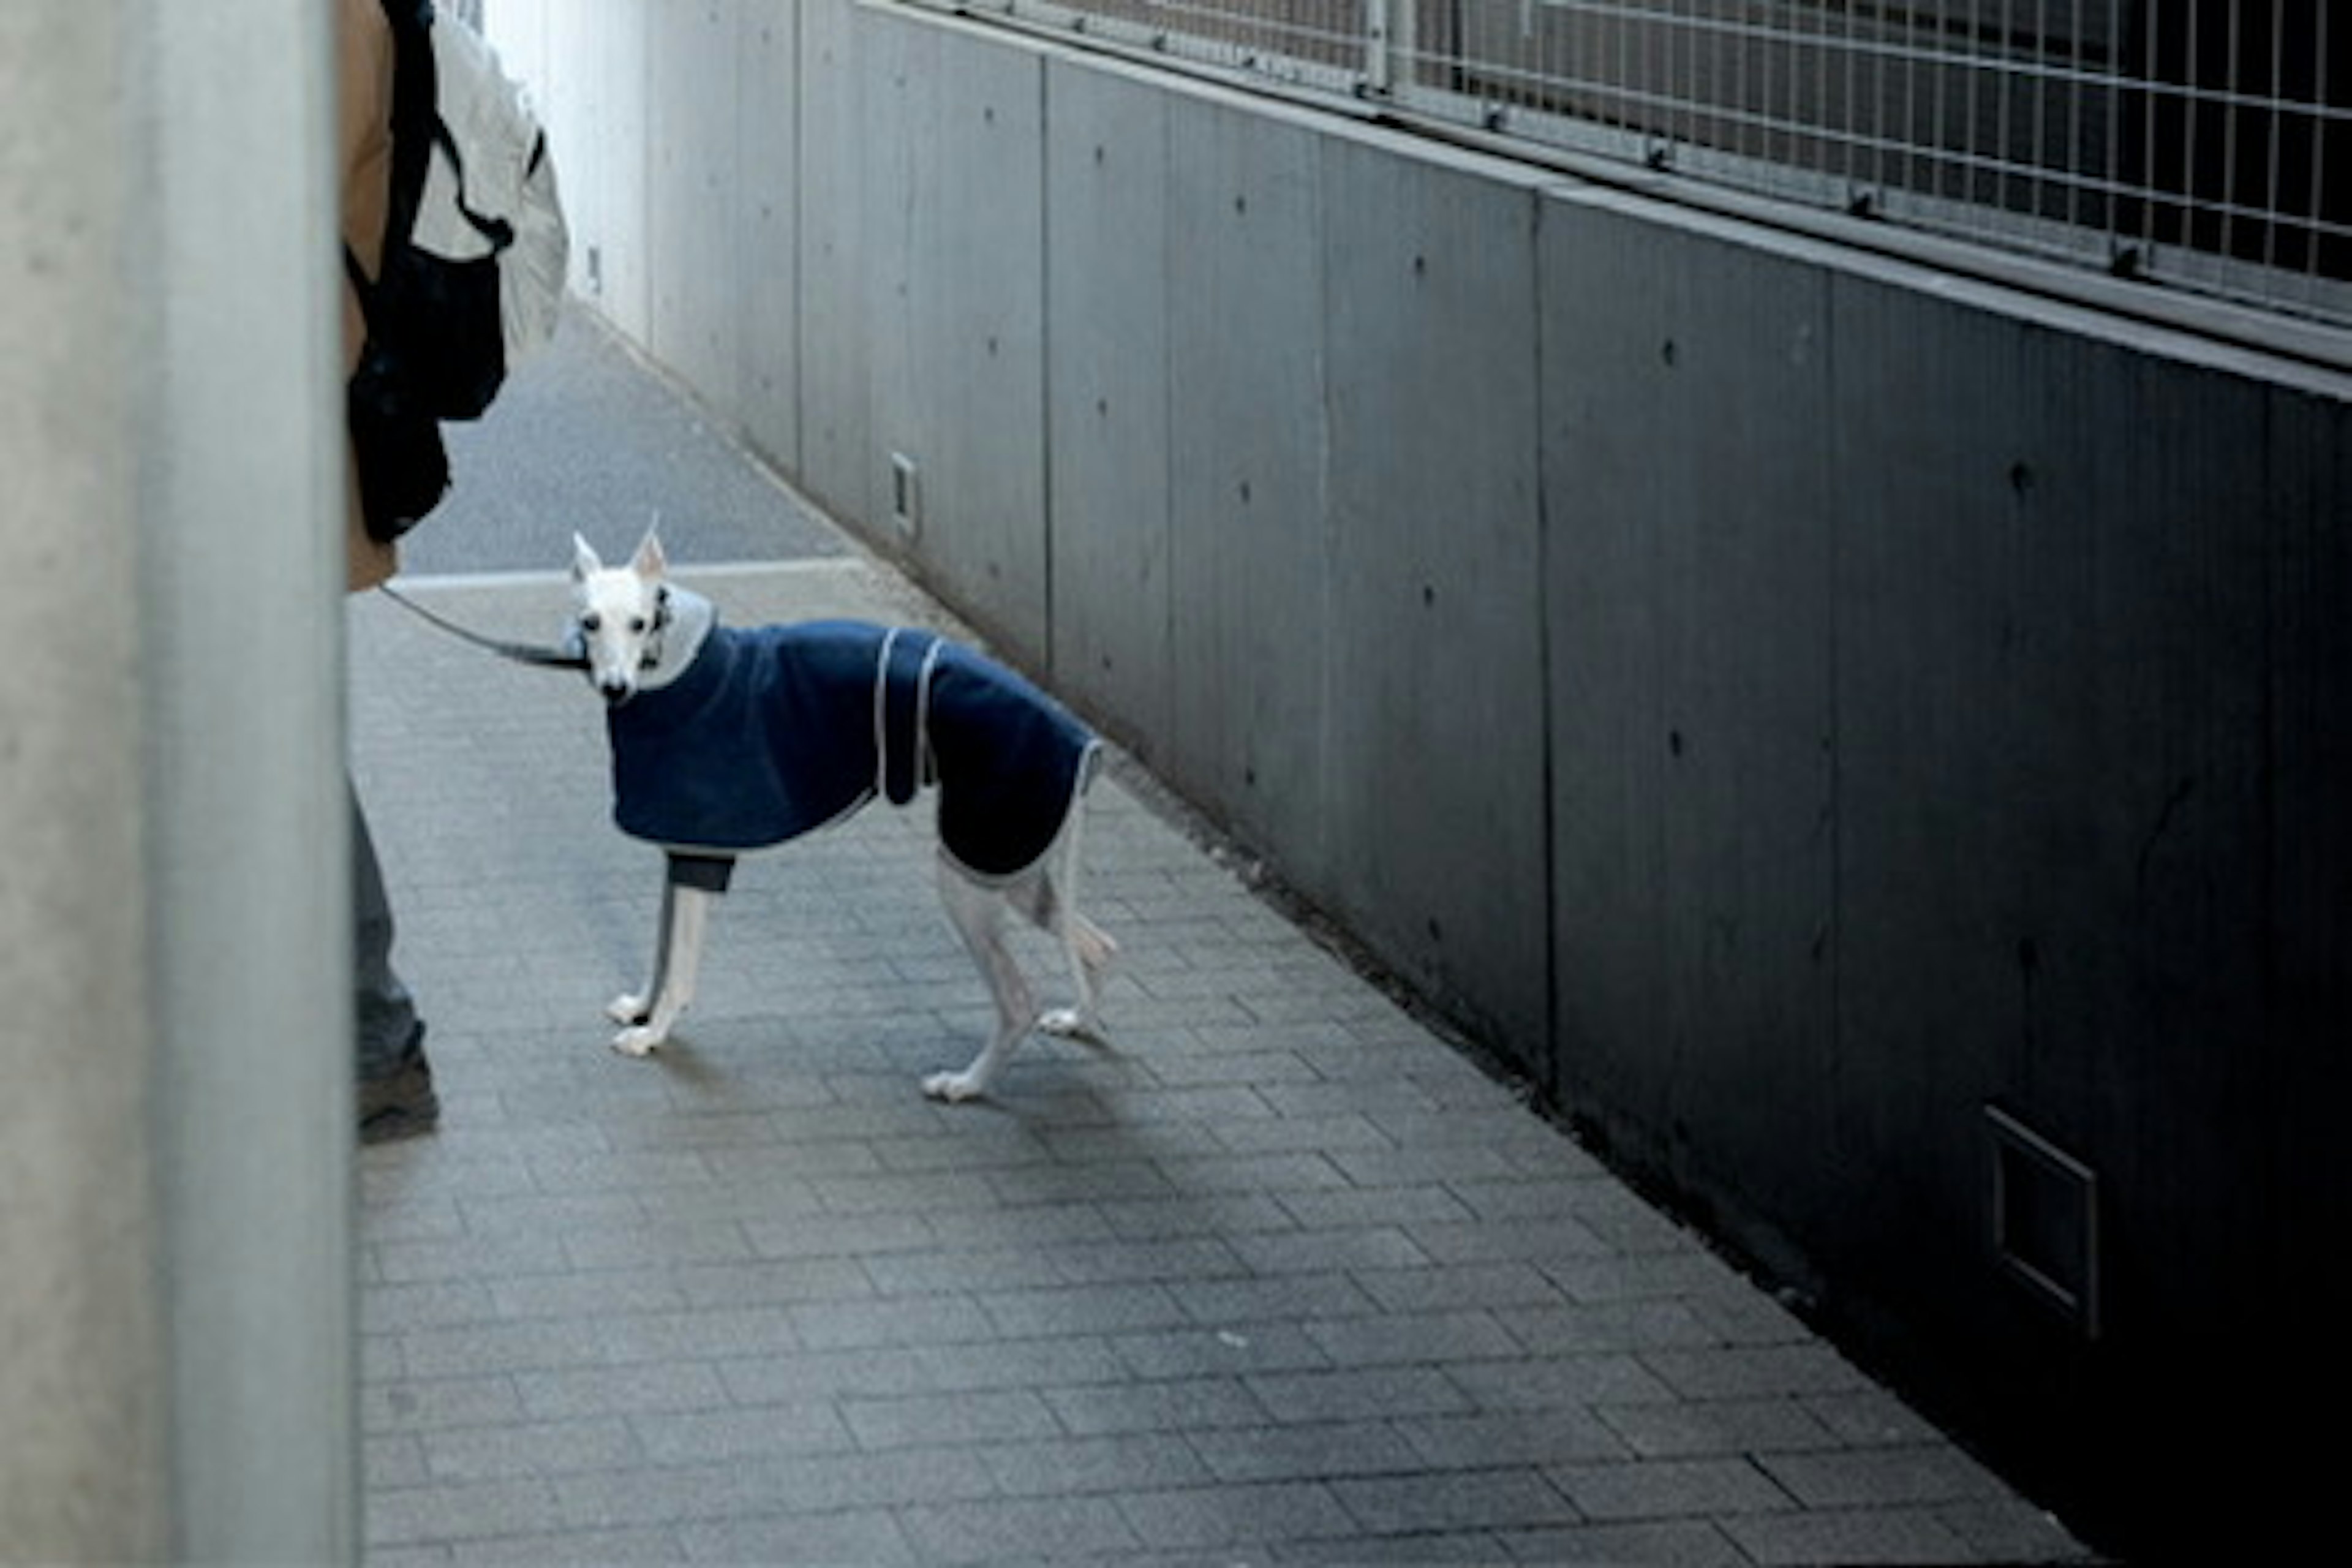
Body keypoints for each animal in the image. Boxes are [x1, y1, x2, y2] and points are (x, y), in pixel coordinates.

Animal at [571, 531, 1119, 1104]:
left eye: (638, 623)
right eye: (590, 622)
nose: (615, 688)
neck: (676, 670)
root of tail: (1081, 742)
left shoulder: (701, 857)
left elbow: (679, 965)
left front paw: (653, 1035)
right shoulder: (680, 852)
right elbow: (661, 950)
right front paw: (641, 1008)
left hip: (973, 868)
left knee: (1017, 1001)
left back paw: (967, 1083)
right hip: (1011, 863)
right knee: (1099, 947)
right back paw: (1078, 1019)